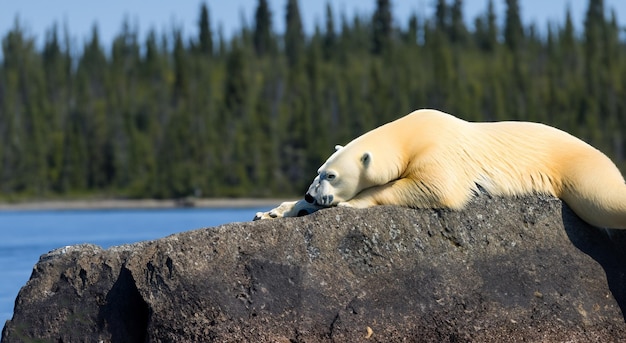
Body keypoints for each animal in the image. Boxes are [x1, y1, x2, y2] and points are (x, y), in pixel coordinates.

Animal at [254, 109, 624, 230]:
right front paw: (273, 212)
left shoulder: (441, 151)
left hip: (581, 168)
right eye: (318, 171)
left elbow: (436, 187)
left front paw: (352, 202)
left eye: (331, 176)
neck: (411, 132)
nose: (309, 195)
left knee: (605, 198)